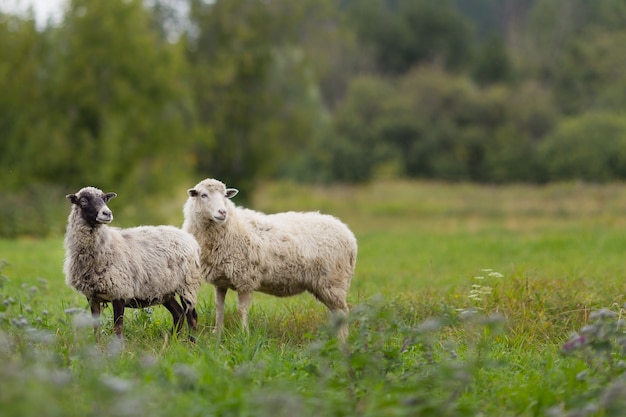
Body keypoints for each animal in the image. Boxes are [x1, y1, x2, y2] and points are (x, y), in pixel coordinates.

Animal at [63, 187, 201, 340]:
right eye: (83, 201)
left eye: (105, 199)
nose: (107, 213)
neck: (107, 247)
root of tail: (189, 237)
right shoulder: (92, 296)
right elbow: (96, 329)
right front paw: (98, 346)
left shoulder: (119, 291)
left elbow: (117, 329)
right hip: (164, 289)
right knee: (179, 313)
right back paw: (171, 341)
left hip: (187, 284)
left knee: (192, 316)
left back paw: (191, 342)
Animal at [180, 177, 356, 340]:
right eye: (203, 195)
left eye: (225, 196)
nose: (222, 213)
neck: (231, 226)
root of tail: (349, 234)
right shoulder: (221, 281)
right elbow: (219, 307)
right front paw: (217, 333)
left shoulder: (245, 279)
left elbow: (241, 309)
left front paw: (244, 334)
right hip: (327, 285)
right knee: (337, 313)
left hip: (334, 282)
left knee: (342, 311)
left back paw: (342, 340)